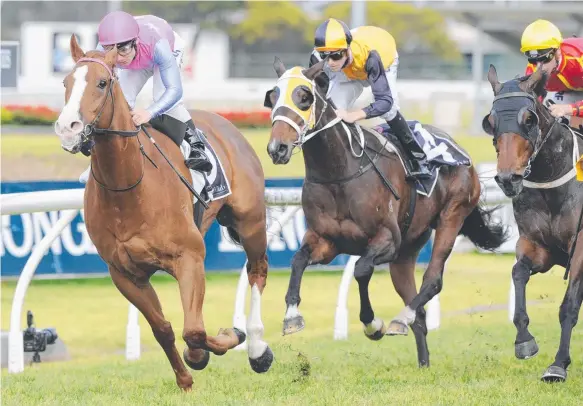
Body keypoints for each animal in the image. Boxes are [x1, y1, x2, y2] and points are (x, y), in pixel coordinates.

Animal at [53, 36, 272, 392]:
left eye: (101, 83)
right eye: (66, 82)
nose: (67, 128)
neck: (128, 189)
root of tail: (227, 125)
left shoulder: (190, 257)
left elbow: (194, 331)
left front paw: (228, 336)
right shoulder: (125, 274)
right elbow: (164, 329)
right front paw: (186, 378)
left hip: (250, 222)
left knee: (257, 272)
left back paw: (256, 348)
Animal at [262, 59, 508, 368]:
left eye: (304, 97)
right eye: (272, 97)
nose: (277, 148)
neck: (339, 173)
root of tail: (461, 152)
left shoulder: (387, 239)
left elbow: (361, 269)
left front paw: (372, 324)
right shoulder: (327, 241)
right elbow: (297, 261)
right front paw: (292, 316)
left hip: (452, 216)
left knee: (433, 280)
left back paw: (401, 319)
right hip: (407, 251)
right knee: (418, 309)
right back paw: (423, 361)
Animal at [484, 65, 583, 382]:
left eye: (529, 119)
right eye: (490, 122)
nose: (507, 178)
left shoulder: (580, 248)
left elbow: (568, 306)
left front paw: (558, 364)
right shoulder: (538, 247)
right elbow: (518, 273)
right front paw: (524, 340)